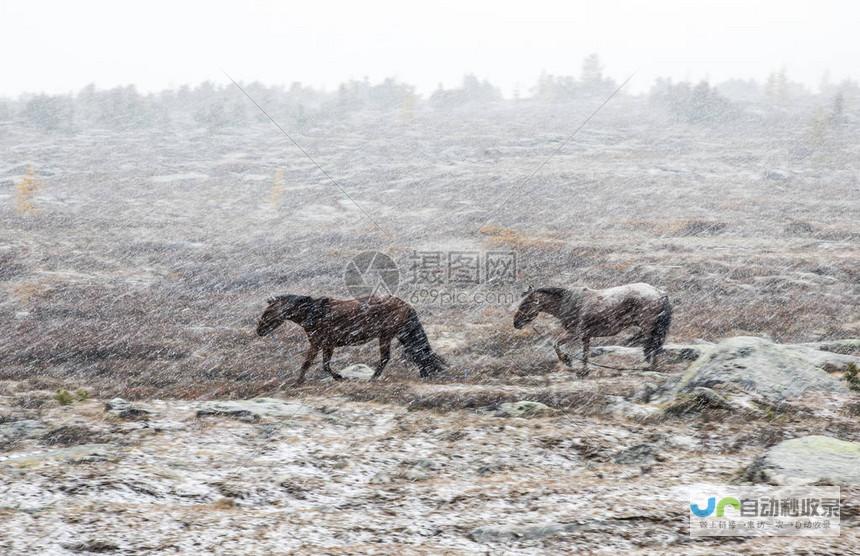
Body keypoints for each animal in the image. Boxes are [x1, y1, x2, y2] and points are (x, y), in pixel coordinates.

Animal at [255, 296, 444, 382]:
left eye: (268, 312)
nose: (259, 331)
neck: (314, 313)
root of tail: (406, 304)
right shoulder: (324, 345)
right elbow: (320, 364)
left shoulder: (320, 343)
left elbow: (311, 363)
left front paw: (300, 381)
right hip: (400, 335)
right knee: (416, 353)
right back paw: (424, 372)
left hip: (387, 335)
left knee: (387, 357)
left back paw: (373, 378)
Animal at [512, 282, 676, 378]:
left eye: (525, 304)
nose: (516, 323)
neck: (569, 301)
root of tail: (660, 293)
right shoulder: (586, 335)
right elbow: (585, 353)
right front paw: (583, 371)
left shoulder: (574, 334)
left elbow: (556, 344)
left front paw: (567, 361)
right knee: (653, 346)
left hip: (648, 327)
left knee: (652, 345)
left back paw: (648, 366)